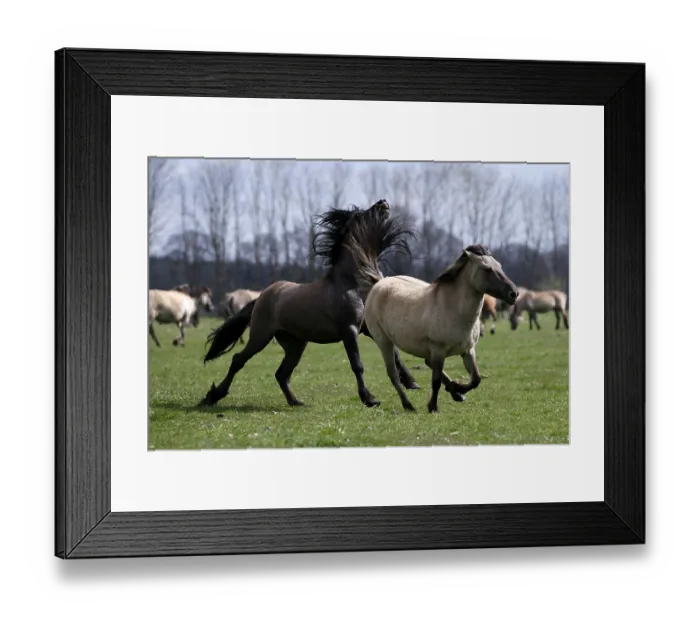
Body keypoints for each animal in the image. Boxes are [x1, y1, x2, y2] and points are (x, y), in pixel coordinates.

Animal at [197, 199, 420, 409]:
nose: (383, 202)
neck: (352, 284)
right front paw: (370, 399)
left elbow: (395, 355)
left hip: (295, 344)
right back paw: (213, 396)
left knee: (281, 373)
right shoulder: (349, 331)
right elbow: (357, 365)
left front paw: (411, 382)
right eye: (362, 214)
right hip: (261, 336)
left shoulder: (367, 328)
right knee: (239, 360)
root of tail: (261, 297)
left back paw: (296, 402)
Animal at [362, 245, 518, 413]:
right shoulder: (438, 350)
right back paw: (408, 405)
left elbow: (476, 378)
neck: (454, 309)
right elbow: (435, 380)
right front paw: (433, 407)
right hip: (384, 342)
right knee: (394, 374)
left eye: (500, 266)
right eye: (487, 268)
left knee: (426, 363)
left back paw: (456, 393)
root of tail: (379, 284)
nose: (514, 293)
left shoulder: (468, 351)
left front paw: (458, 388)